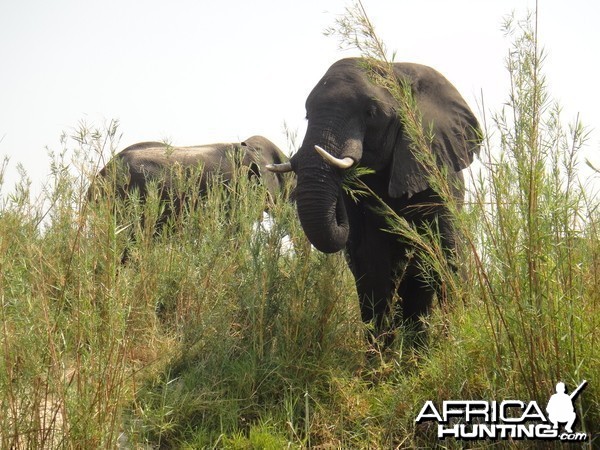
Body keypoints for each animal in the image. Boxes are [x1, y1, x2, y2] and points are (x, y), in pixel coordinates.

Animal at [270, 59, 480, 348]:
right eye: (306, 115)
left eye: (370, 113)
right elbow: (371, 262)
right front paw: (381, 358)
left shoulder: (434, 171)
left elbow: (446, 253)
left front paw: (454, 342)